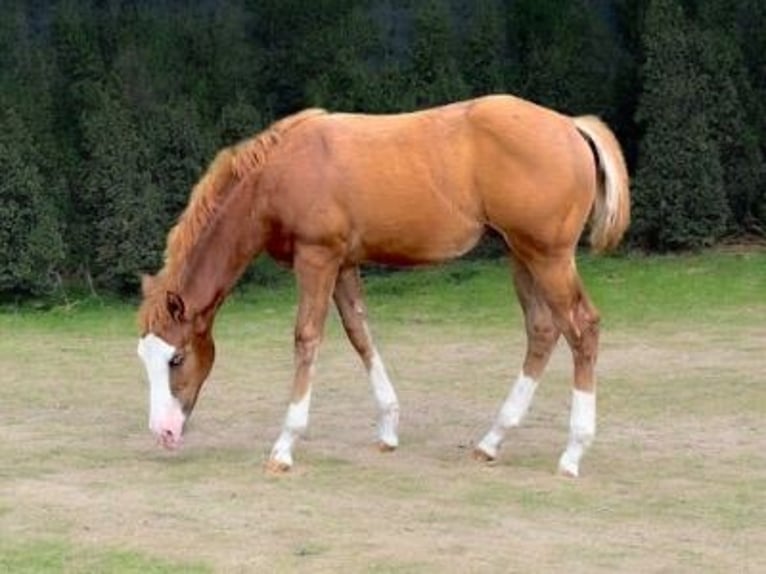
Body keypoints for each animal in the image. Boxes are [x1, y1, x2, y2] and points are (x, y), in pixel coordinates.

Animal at [138, 97, 632, 480]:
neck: (278, 173)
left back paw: (572, 452)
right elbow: (360, 333)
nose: (164, 432)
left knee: (582, 328)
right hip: (522, 254)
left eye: (176, 358)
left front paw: (284, 446)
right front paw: (389, 428)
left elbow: (306, 338)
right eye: (144, 359)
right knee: (543, 331)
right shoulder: (343, 264)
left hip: (549, 257)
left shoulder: (316, 258)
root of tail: (570, 125)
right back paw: (492, 440)